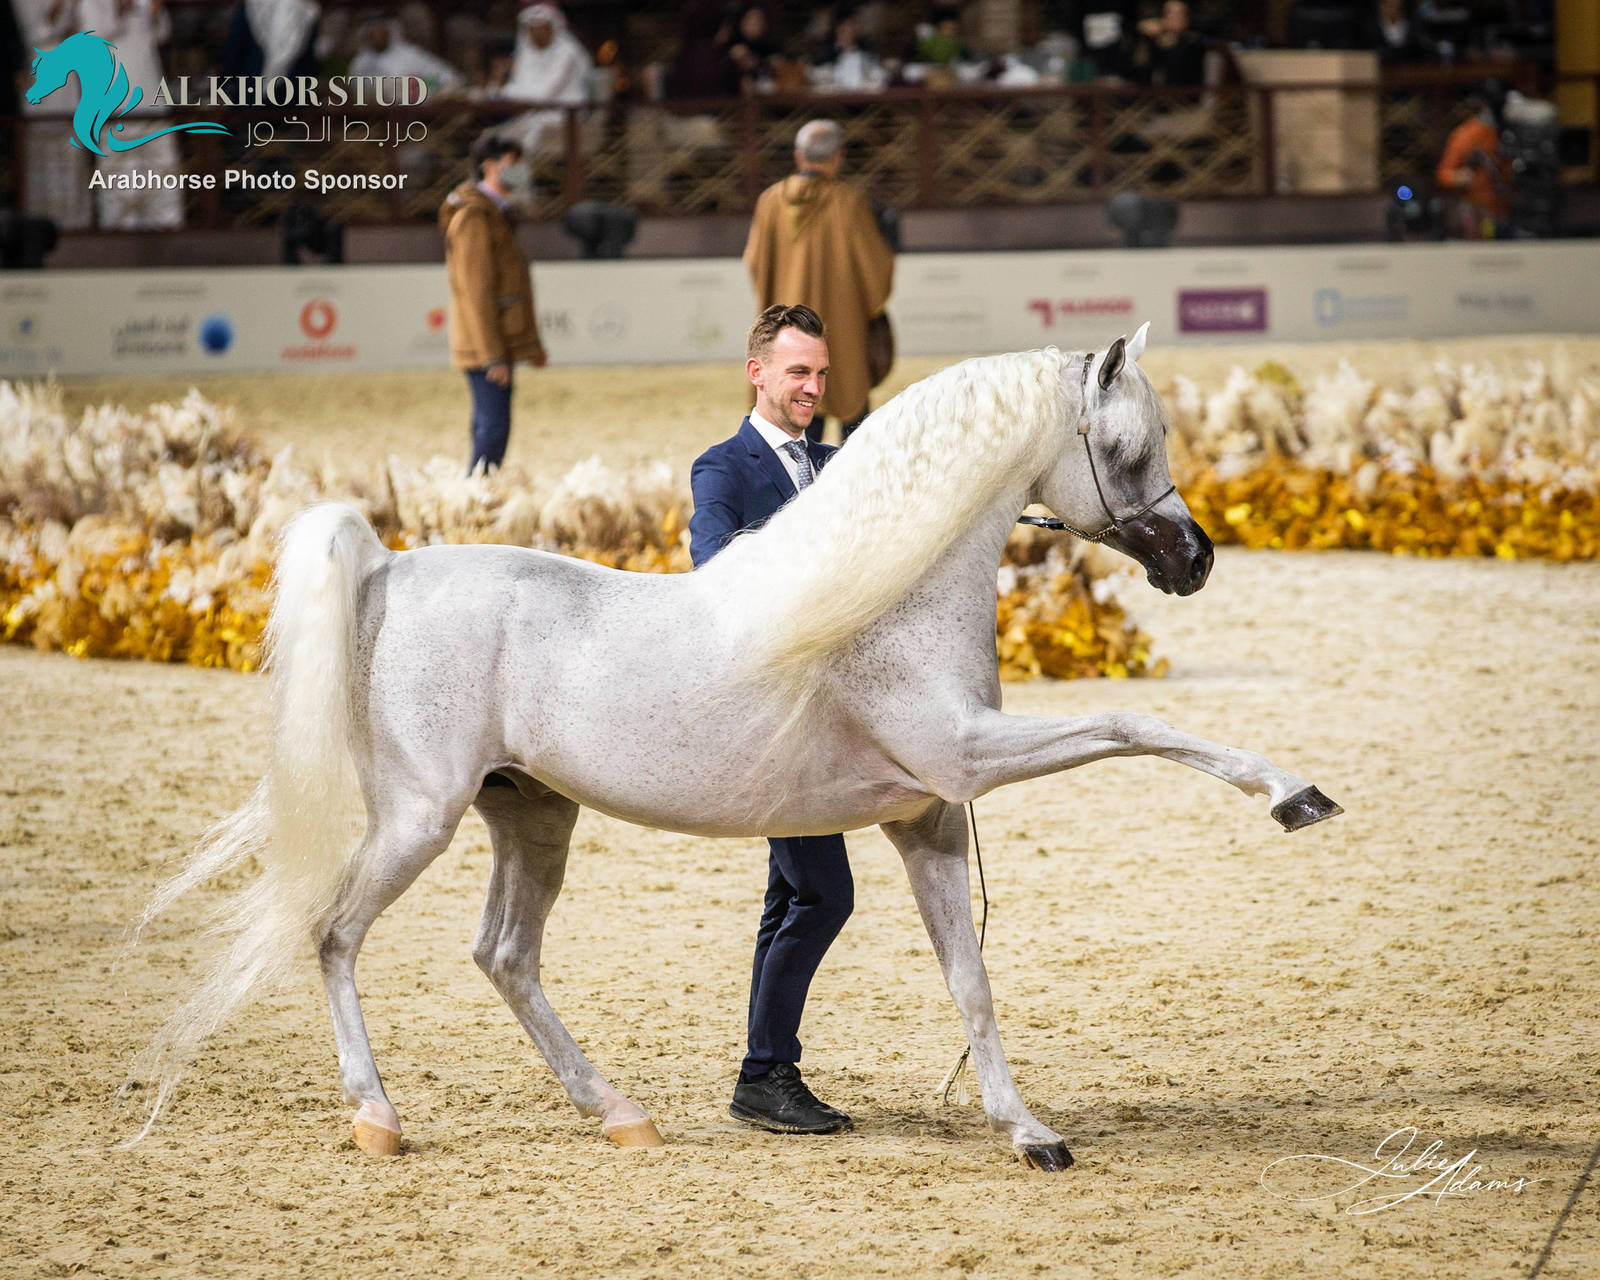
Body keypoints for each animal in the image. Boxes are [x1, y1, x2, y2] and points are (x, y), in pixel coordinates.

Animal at [130, 327, 1342, 1171]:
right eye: (1128, 449)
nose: (1195, 559)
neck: (891, 593)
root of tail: (386, 567)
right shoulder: (965, 757)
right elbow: (1137, 727)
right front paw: (1294, 794)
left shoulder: (926, 819)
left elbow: (971, 979)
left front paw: (1027, 1130)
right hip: (419, 817)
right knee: (335, 933)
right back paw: (378, 1116)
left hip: (532, 812)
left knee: (505, 955)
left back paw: (618, 1113)